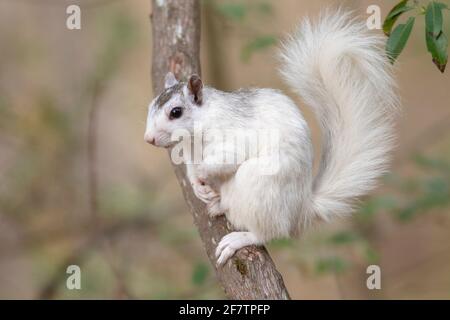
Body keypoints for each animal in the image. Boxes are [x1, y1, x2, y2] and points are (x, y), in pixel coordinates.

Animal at [144, 10, 398, 264]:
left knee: (268, 233)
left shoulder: (233, 138)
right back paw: (218, 204)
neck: (196, 137)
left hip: (259, 186)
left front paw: (204, 175)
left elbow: (225, 160)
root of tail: (300, 208)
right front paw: (198, 187)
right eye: (150, 106)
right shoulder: (188, 153)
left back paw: (240, 237)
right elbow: (190, 170)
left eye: (176, 112)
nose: (148, 139)